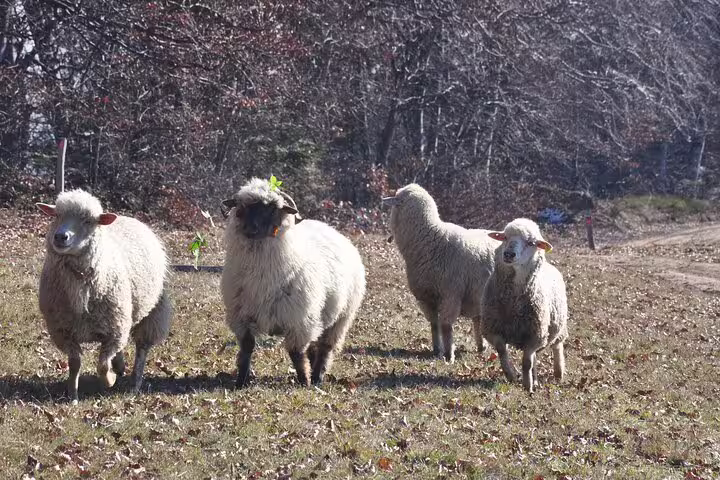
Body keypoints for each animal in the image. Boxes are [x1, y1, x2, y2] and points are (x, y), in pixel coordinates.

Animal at [36, 189, 171, 403]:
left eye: (88, 221)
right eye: (56, 215)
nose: (60, 237)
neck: (80, 290)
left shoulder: (113, 332)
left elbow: (102, 366)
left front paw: (110, 380)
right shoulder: (64, 331)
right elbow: (75, 364)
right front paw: (73, 395)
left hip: (152, 311)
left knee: (142, 347)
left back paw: (135, 383)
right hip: (122, 316)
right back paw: (121, 366)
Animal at [220, 178, 366, 387]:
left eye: (272, 208)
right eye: (242, 207)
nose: (251, 229)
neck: (262, 279)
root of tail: (329, 227)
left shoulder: (299, 320)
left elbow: (296, 354)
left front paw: (304, 380)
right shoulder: (241, 318)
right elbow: (247, 349)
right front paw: (241, 381)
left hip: (341, 318)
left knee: (325, 348)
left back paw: (317, 376)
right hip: (319, 317)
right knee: (314, 346)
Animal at [382, 184, 500, 363]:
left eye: (397, 199)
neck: (430, 238)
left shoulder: (450, 295)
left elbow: (445, 326)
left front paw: (448, 355)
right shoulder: (426, 298)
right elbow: (434, 325)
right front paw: (436, 350)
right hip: (478, 296)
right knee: (478, 319)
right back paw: (481, 347)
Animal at [478, 218, 568, 393]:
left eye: (531, 242)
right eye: (505, 237)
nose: (508, 254)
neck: (512, 303)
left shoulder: (535, 335)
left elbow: (527, 362)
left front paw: (527, 386)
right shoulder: (493, 329)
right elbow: (502, 351)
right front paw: (511, 375)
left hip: (557, 328)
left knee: (557, 347)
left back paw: (558, 373)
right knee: (535, 358)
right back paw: (536, 379)